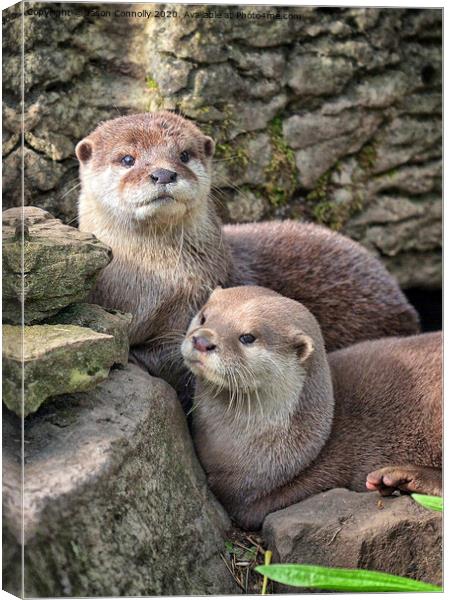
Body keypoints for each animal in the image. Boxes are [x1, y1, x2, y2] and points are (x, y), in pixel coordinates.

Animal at [76, 110, 416, 392]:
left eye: (184, 155)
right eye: (127, 159)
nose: (163, 173)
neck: (148, 285)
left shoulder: (194, 302)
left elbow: (174, 356)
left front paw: (133, 356)